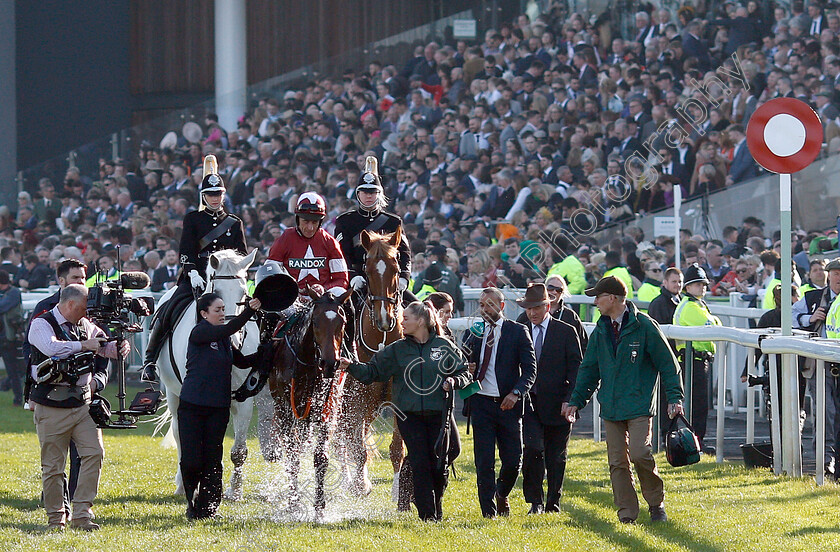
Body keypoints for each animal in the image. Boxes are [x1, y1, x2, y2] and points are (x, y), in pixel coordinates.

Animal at [266, 286, 352, 520]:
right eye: (315, 321)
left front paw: (320, 507)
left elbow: (321, 457)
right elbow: (292, 456)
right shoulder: (286, 410)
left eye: (342, 322)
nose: (330, 363)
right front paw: (294, 503)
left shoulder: (328, 410)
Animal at [336, 226, 406, 502]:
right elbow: (357, 448)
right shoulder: (355, 402)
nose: (385, 319)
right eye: (367, 270)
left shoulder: (397, 402)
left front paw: (398, 494)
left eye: (396, 268)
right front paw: (358, 485)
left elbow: (397, 448)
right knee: (340, 442)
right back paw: (349, 480)